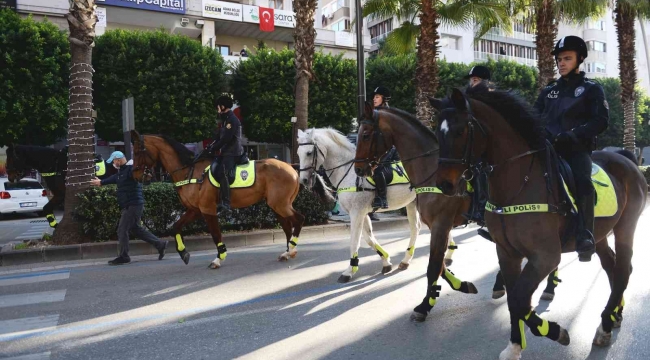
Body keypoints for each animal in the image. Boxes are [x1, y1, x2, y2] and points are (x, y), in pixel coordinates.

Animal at [130, 131, 306, 268]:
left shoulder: (208, 209)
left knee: (299, 219)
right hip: (277, 205)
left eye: (137, 152)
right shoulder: (194, 210)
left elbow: (215, 234)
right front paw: (183, 253)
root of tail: (291, 167)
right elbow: (176, 227)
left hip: (280, 204)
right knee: (287, 226)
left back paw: (291, 249)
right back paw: (288, 252)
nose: (136, 175)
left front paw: (218, 258)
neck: (190, 171)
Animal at [294, 128, 422, 282]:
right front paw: (386, 262)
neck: (347, 172)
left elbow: (354, 240)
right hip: (411, 203)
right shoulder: (363, 212)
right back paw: (405, 261)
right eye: (298, 153)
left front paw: (349, 270)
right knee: (415, 228)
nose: (304, 180)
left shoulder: (357, 213)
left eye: (309, 152)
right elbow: (368, 238)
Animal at [352, 101, 478, 320]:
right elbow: (439, 266)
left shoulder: (441, 225)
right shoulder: (437, 227)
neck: (432, 170)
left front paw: (425, 305)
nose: (358, 170)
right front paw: (459, 285)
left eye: (366, 134)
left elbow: (434, 267)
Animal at [430, 88, 644, 360]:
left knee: (624, 269)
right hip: (600, 235)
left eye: (460, 131)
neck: (518, 184)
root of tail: (626, 159)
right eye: (438, 132)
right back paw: (615, 314)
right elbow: (515, 301)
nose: (444, 184)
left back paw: (605, 325)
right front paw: (514, 345)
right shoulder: (507, 253)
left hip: (625, 228)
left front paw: (554, 331)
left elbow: (520, 300)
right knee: (612, 267)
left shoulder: (545, 257)